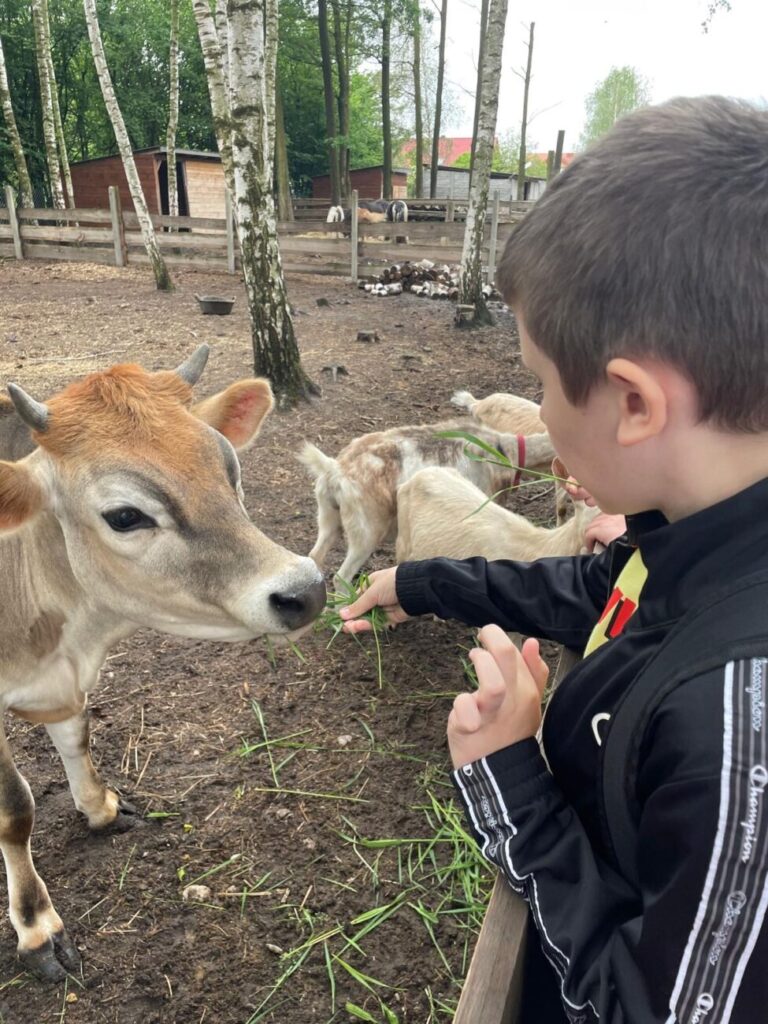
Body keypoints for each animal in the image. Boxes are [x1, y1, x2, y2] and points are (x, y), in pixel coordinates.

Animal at [0, 346, 326, 981]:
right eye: (125, 516)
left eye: (230, 469)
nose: (305, 590)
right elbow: (16, 809)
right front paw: (36, 928)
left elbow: (77, 738)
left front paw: (100, 808)